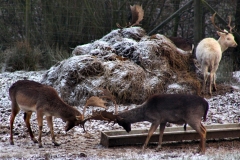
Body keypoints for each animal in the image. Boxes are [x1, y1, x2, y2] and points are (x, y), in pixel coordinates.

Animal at [79, 94, 209, 154]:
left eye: (121, 122)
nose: (128, 130)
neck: (145, 112)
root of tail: (206, 103)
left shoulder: (156, 119)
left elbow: (150, 133)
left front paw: (142, 148)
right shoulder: (163, 120)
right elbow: (161, 133)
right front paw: (158, 147)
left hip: (192, 117)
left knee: (202, 131)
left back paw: (202, 151)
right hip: (196, 119)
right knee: (204, 129)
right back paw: (198, 148)